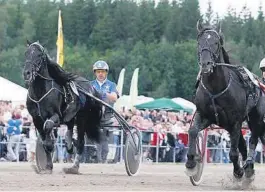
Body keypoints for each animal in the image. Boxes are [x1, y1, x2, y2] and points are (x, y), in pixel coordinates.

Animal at [23, 40, 102, 174]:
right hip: (71, 116)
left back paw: (74, 167)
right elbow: (44, 141)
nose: (27, 73)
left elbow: (48, 126)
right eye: (26, 53)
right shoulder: (36, 119)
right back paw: (69, 144)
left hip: (82, 119)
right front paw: (48, 166)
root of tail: (91, 87)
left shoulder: (56, 116)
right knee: (70, 129)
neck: (40, 93)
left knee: (80, 143)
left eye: (39, 55)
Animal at [185, 20, 265, 181]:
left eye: (216, 43)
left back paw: (248, 168)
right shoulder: (204, 115)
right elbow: (193, 131)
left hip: (255, 119)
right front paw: (191, 163)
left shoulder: (235, 120)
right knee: (242, 145)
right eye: (199, 42)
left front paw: (238, 172)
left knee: (252, 139)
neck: (216, 89)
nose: (206, 64)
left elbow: (233, 153)